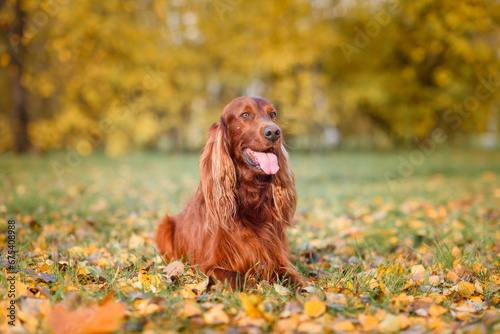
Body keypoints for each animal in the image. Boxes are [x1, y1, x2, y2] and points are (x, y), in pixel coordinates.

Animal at [156, 95, 302, 288]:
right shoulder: (209, 266)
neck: (250, 196)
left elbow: (297, 280)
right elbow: (239, 279)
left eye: (273, 115)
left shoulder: (277, 261)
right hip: (164, 226)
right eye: (245, 114)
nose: (273, 132)